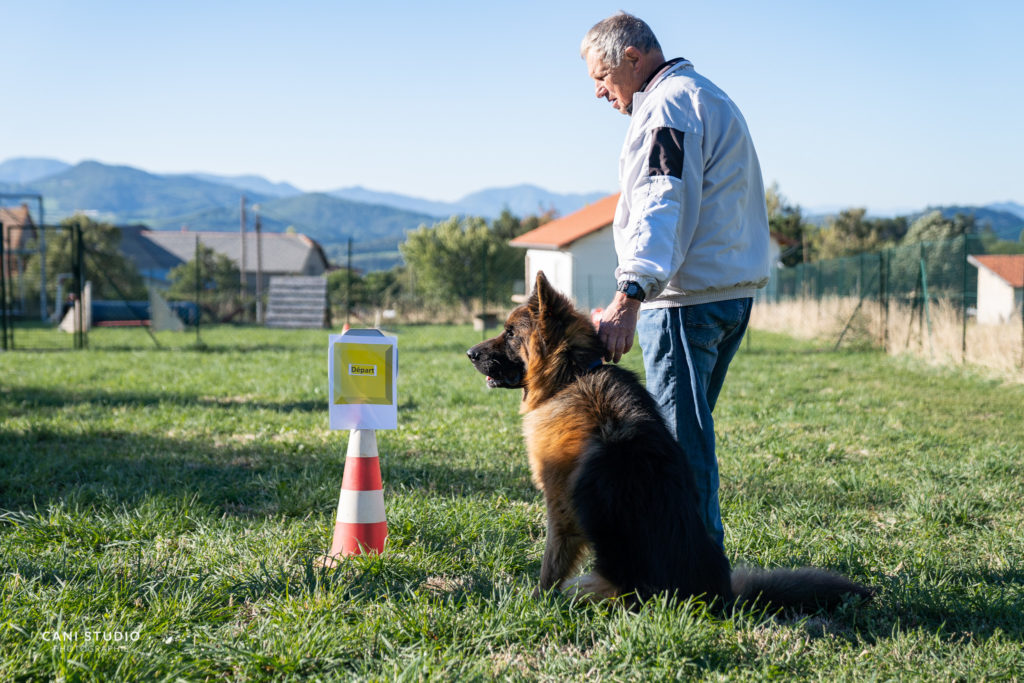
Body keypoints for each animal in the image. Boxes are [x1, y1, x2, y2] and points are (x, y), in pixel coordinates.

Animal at [468, 272, 868, 610]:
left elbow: (550, 567)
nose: (469, 353)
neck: (573, 375)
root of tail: (721, 598)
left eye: (509, 334)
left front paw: (536, 601)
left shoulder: (561, 510)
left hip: (590, 585)